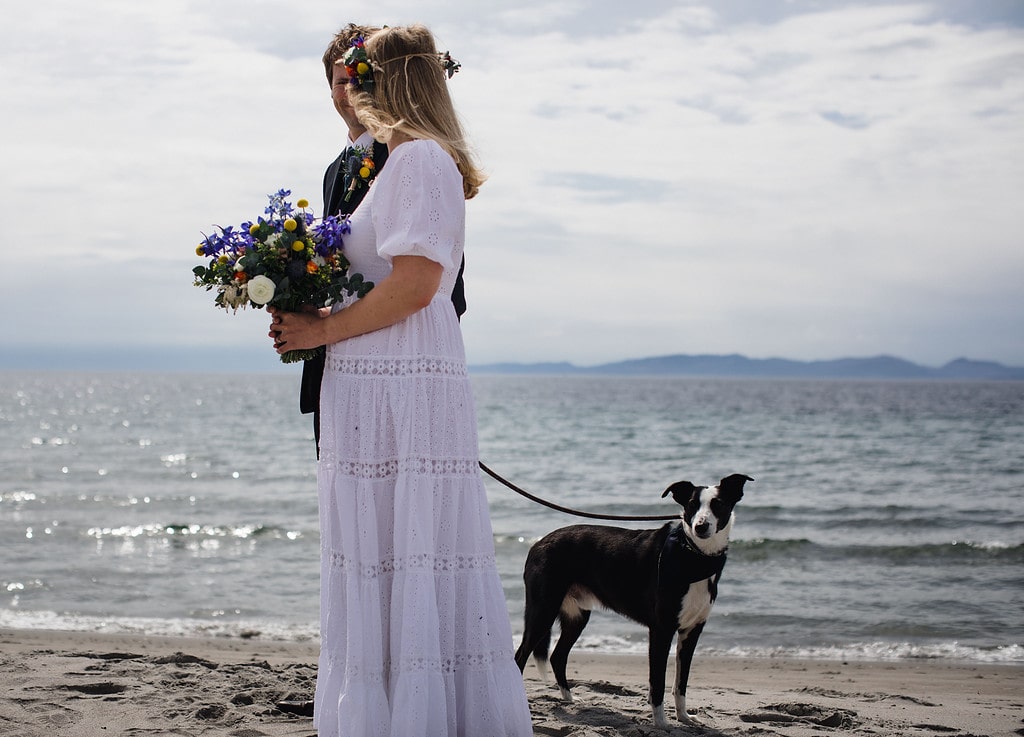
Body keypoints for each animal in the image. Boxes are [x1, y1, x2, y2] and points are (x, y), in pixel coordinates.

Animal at [516, 472, 749, 724]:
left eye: (718, 504)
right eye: (691, 505)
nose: (701, 526)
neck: (693, 556)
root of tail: (538, 544)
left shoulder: (692, 631)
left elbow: (681, 683)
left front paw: (684, 717)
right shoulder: (661, 630)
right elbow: (658, 683)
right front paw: (661, 723)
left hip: (576, 616)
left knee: (558, 657)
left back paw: (569, 699)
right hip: (543, 610)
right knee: (520, 656)